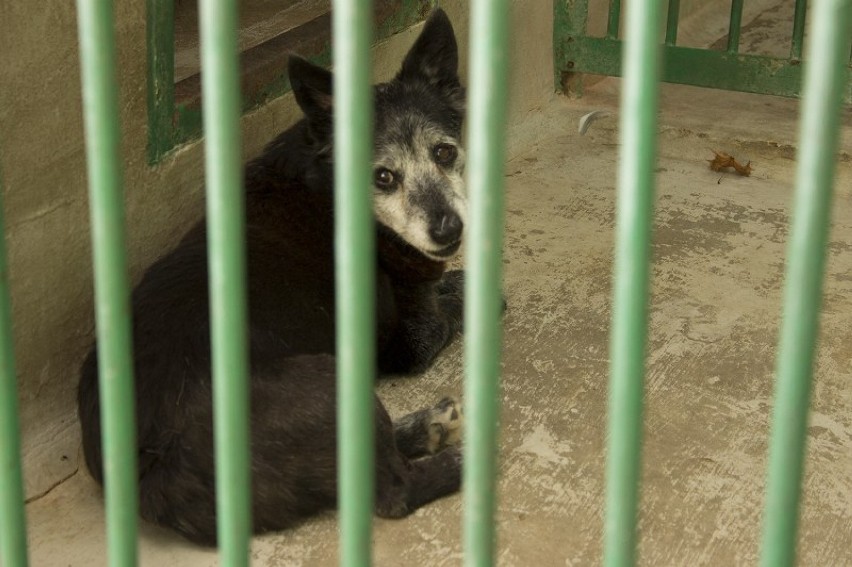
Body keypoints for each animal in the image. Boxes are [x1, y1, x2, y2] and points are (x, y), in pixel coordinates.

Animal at [77, 10, 470, 544]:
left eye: (444, 153)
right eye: (383, 177)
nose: (449, 228)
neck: (328, 182)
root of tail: (155, 471)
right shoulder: (409, 341)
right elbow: (448, 308)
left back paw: (427, 428)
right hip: (328, 375)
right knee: (391, 492)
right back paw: (458, 459)